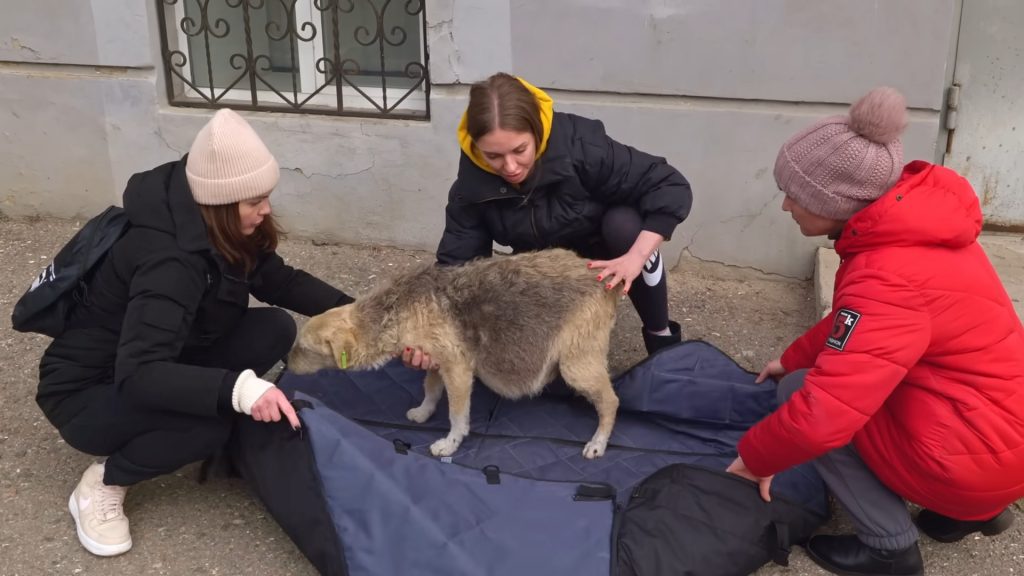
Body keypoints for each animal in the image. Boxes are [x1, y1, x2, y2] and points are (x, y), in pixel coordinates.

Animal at [288, 247, 622, 457]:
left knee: (611, 402)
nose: (287, 364)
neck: (398, 310)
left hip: (577, 366)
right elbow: (430, 390)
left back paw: (598, 442)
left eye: (304, 347)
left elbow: (457, 416)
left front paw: (449, 444)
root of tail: (605, 280)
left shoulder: (458, 371)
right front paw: (424, 411)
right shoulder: (435, 363)